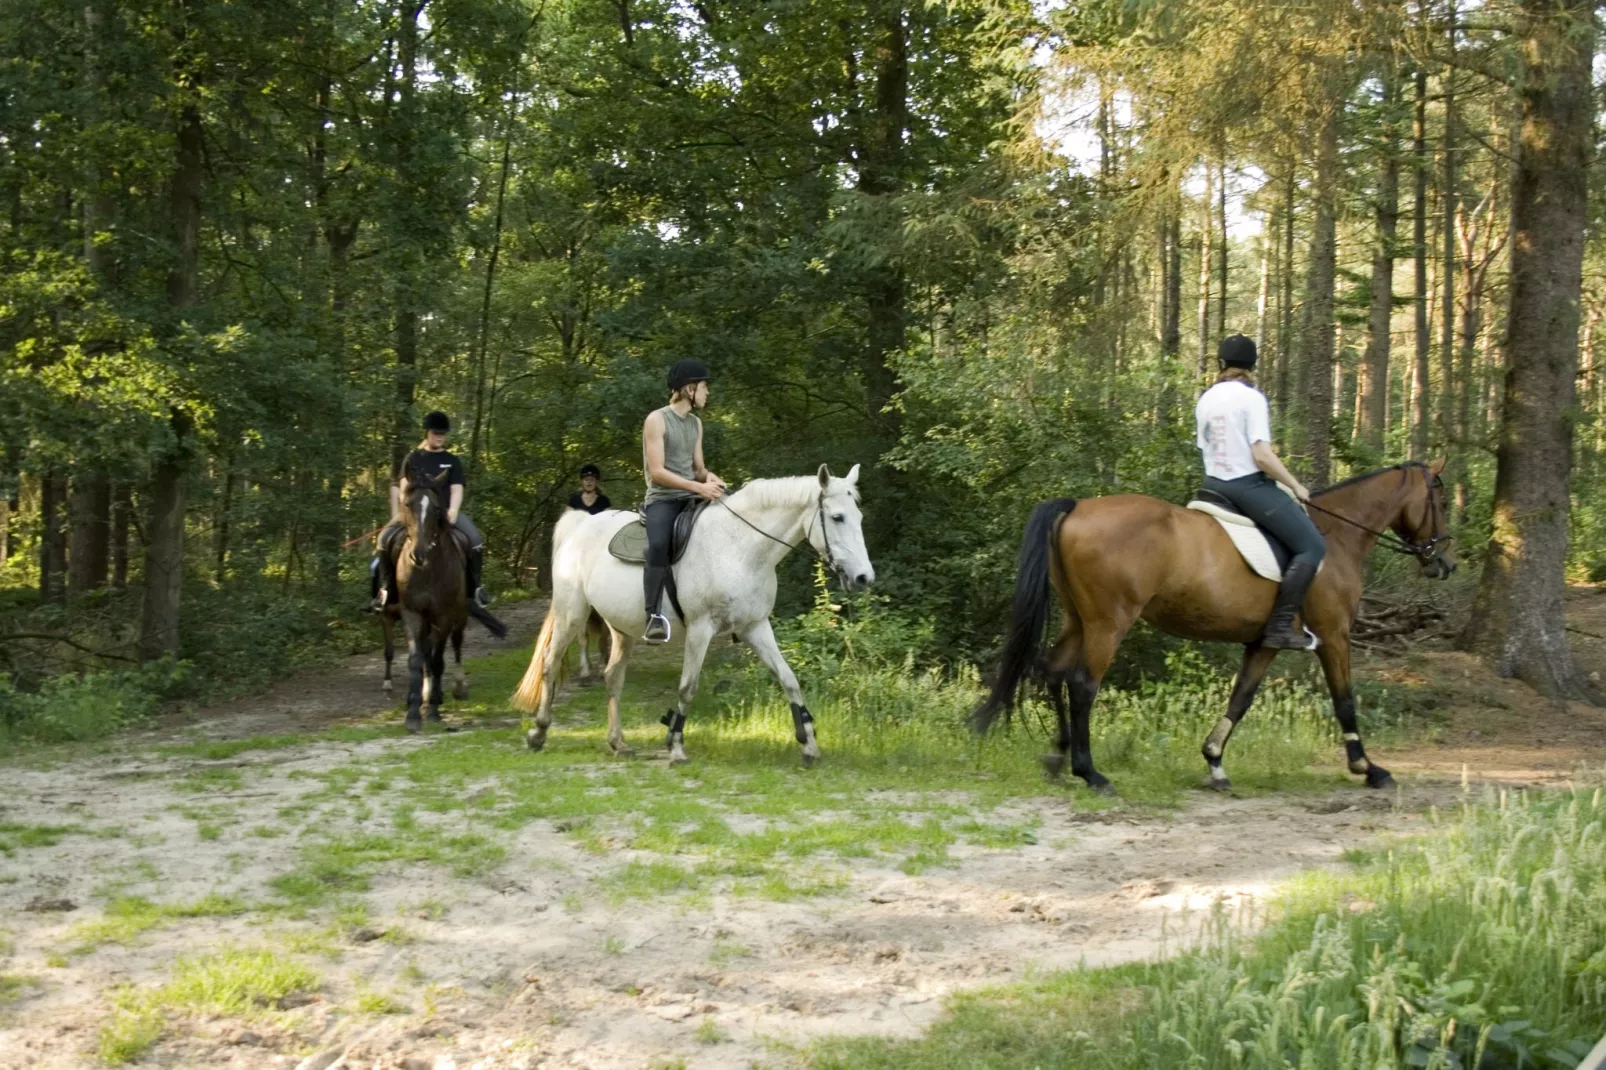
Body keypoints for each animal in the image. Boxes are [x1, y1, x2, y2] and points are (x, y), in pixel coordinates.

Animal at [513, 462, 873, 761]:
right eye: (837, 518)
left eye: (859, 518)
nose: (863, 578)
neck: (740, 547)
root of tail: (581, 525)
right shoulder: (702, 628)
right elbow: (688, 686)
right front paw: (675, 745)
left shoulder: (756, 626)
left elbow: (789, 679)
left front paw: (808, 743)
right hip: (571, 613)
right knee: (550, 665)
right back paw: (538, 733)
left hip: (622, 627)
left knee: (613, 676)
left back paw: (618, 742)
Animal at [976, 459, 1458, 790]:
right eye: (1440, 499)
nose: (1445, 563)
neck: (1337, 536)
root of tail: (1077, 506)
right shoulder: (1334, 635)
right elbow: (1344, 700)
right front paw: (1369, 768)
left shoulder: (1264, 643)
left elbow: (1240, 698)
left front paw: (1214, 761)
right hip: (1108, 623)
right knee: (1081, 684)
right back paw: (1091, 773)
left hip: (1080, 619)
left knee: (1052, 671)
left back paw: (1058, 760)